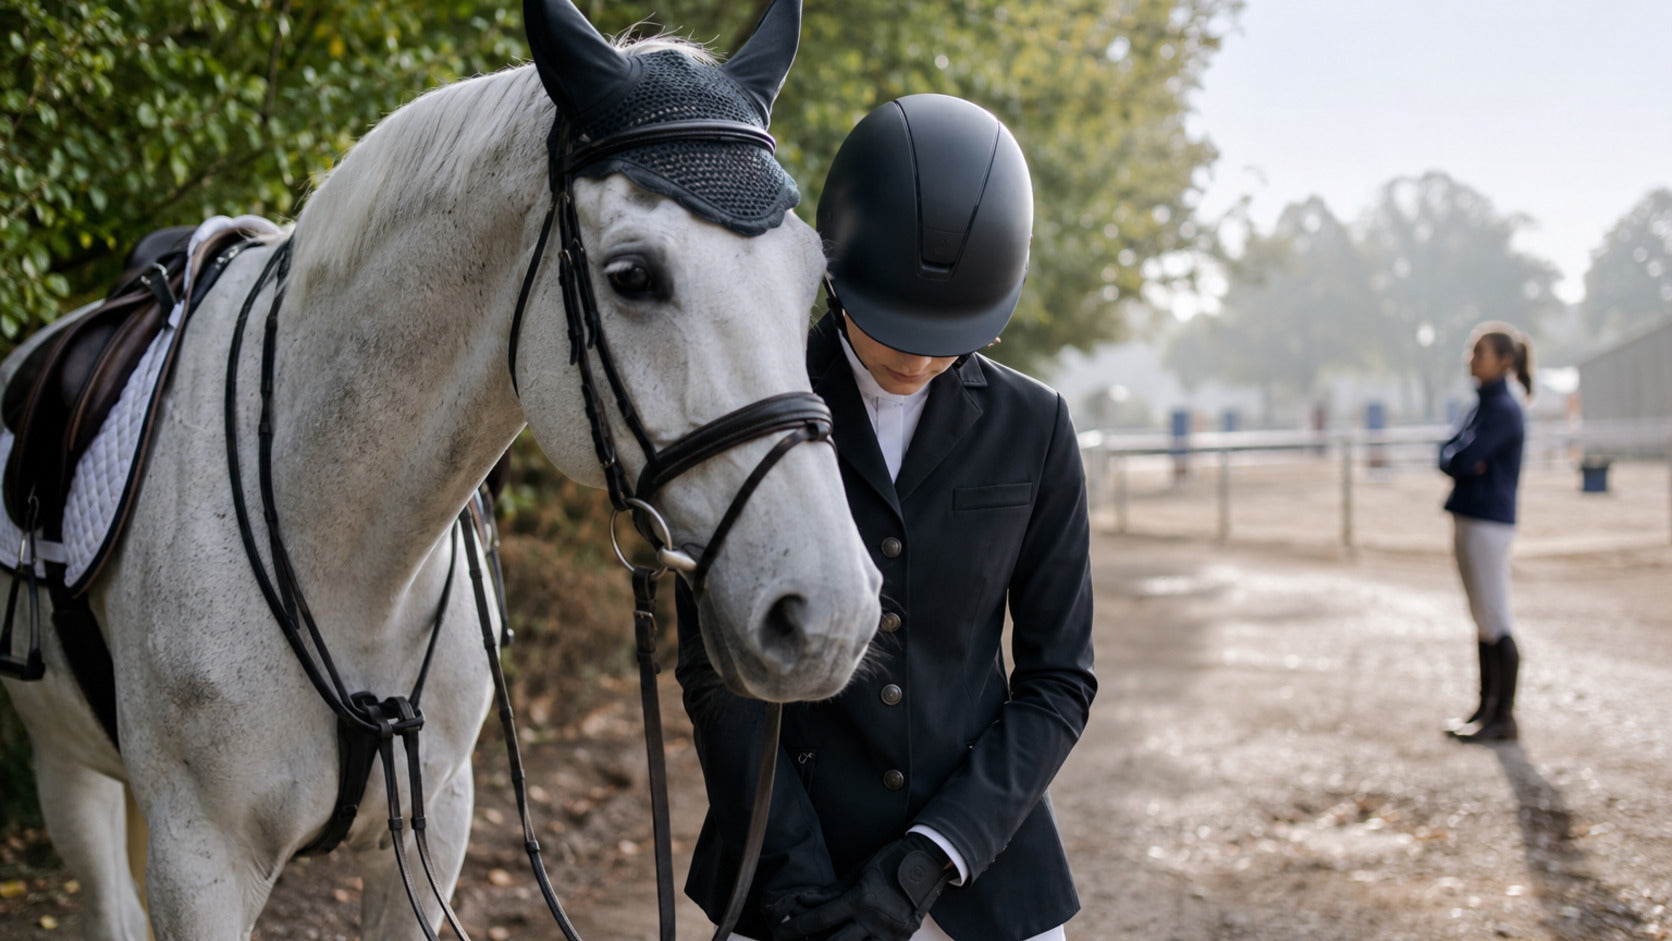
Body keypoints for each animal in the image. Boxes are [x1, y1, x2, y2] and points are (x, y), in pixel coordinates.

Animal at [0, 0, 881, 936]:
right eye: (632, 275)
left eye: (811, 274)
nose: (832, 617)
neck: (344, 554)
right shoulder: (200, 862)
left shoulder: (438, 824)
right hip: (68, 769)